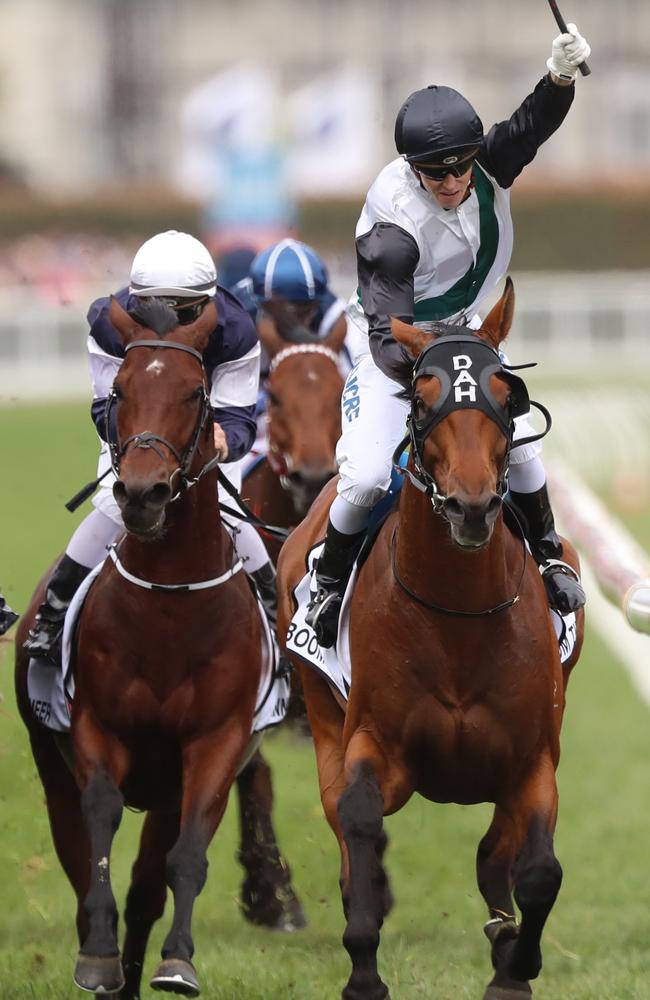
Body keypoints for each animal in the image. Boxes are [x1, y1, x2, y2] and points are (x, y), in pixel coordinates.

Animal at [13, 298, 296, 1000]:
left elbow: (185, 858)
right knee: (81, 860)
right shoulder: (96, 730)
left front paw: (177, 963)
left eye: (195, 392)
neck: (170, 604)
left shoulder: (215, 744)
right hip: (51, 763)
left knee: (147, 886)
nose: (141, 493)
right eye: (119, 389)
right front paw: (97, 958)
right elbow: (99, 830)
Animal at [276, 282, 584, 1000]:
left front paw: (515, 966)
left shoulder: (533, 759)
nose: (472, 505)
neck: (458, 618)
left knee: (495, 855)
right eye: (421, 399)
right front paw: (364, 971)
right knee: (344, 829)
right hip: (323, 714)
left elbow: (539, 870)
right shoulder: (373, 741)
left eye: (506, 393)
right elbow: (360, 819)